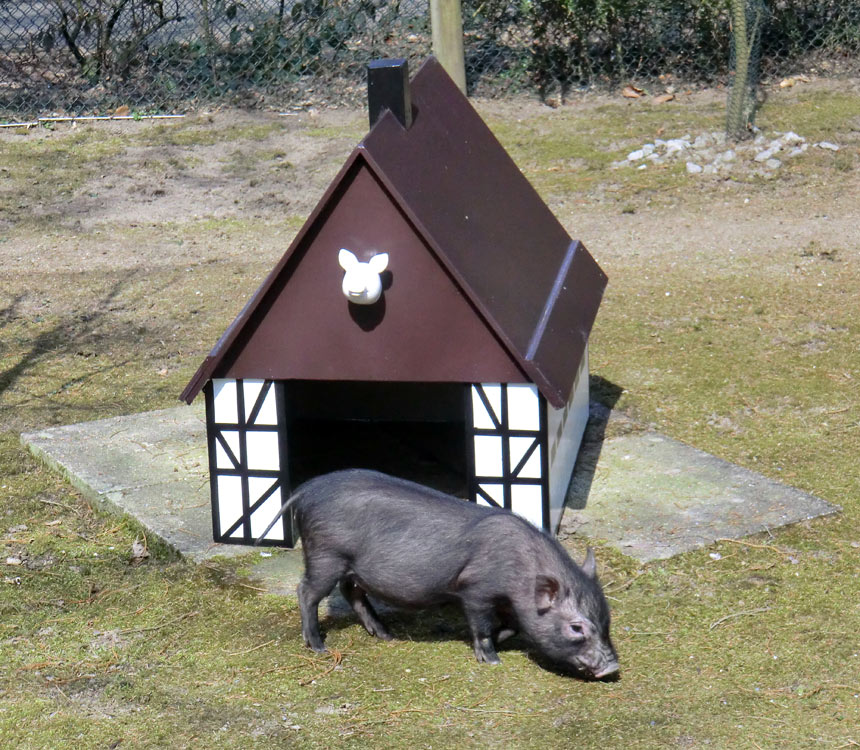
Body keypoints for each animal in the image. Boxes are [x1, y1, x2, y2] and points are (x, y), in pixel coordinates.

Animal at [255, 470, 620, 680]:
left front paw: (502, 641)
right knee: (306, 591)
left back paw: (386, 635)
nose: (613, 667)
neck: (521, 572)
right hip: (325, 555)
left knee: (352, 593)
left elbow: (514, 625)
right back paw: (318, 646)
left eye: (607, 620)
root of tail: (305, 490)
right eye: (576, 628)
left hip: (349, 566)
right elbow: (481, 627)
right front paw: (491, 661)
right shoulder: (475, 590)